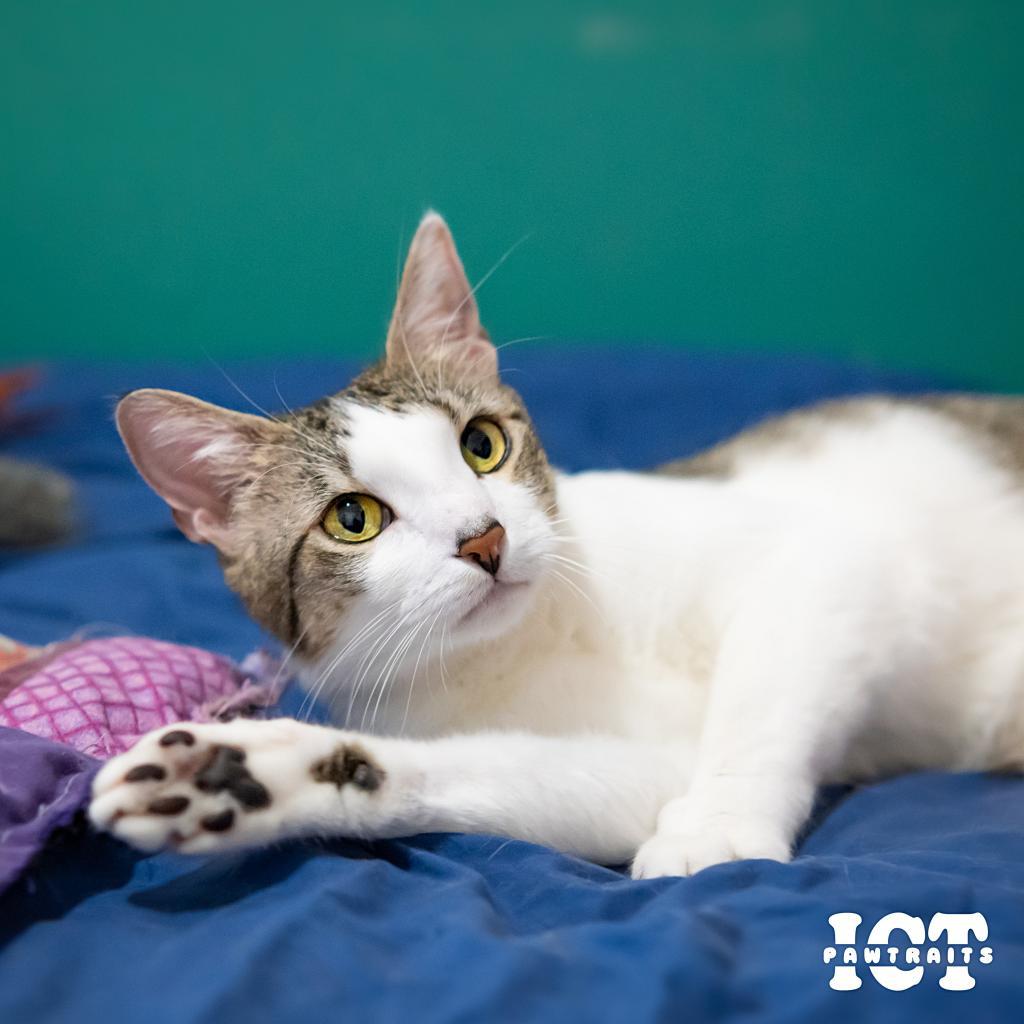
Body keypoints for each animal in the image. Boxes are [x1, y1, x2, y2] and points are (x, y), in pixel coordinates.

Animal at [88, 211, 1024, 876]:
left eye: (482, 445)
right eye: (353, 519)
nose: (485, 538)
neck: (536, 639)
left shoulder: (821, 558)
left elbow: (764, 692)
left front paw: (719, 820)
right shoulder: (604, 757)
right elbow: (538, 780)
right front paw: (248, 776)